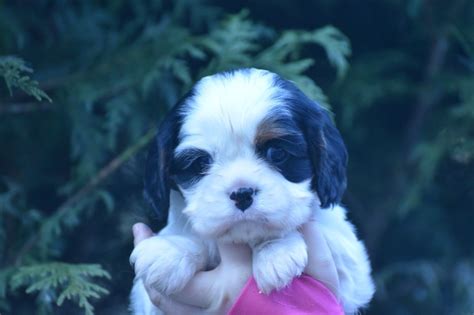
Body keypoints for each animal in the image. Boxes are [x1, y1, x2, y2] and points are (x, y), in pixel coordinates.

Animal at [130, 68, 374, 314]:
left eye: (277, 152)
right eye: (200, 163)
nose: (242, 193)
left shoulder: (351, 268)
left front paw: (276, 252)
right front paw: (170, 250)